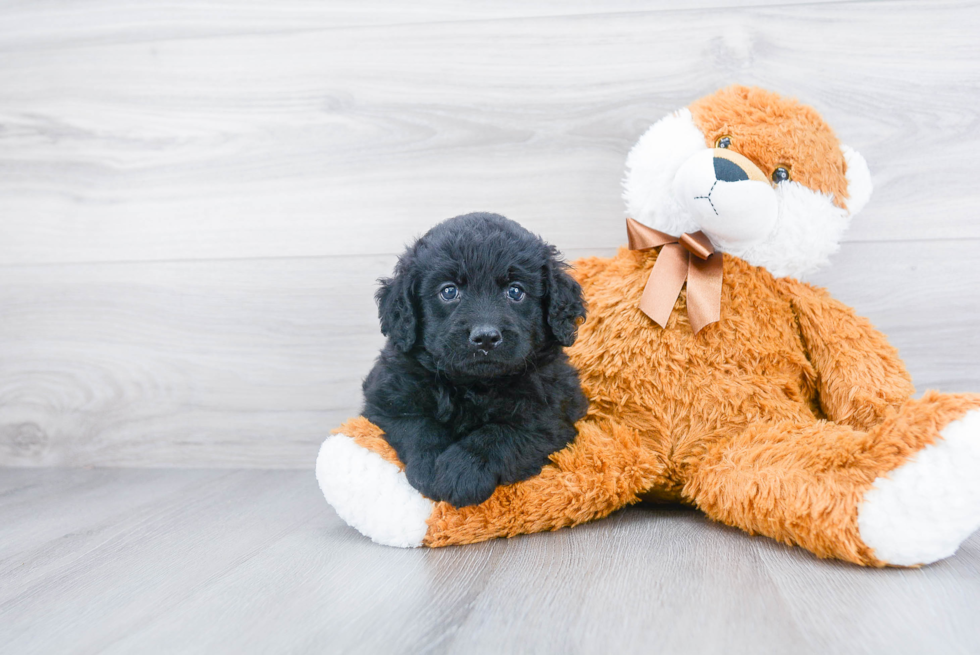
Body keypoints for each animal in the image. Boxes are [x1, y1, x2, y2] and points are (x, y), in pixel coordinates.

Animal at [362, 213, 584, 510]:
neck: (473, 385)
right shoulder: (388, 401)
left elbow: (499, 434)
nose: (486, 337)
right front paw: (430, 467)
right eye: (449, 291)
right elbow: (419, 427)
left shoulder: (550, 415)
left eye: (515, 291)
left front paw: (462, 472)